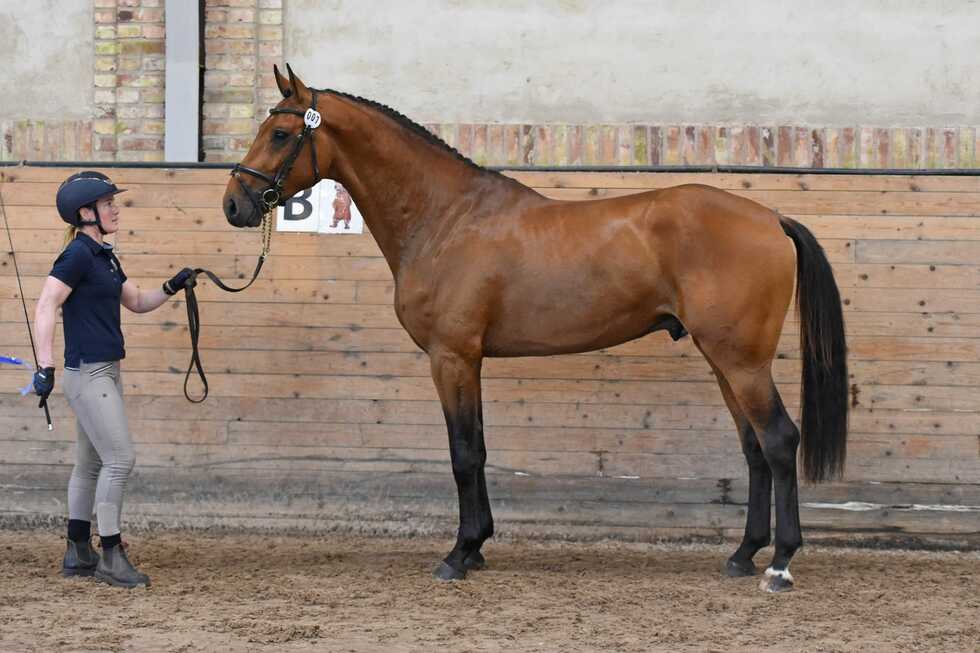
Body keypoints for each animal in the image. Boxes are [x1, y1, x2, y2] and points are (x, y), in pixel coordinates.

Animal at [223, 65, 848, 593]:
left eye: (281, 134)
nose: (234, 205)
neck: (446, 217)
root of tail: (771, 219)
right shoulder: (468, 359)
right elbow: (476, 447)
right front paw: (477, 547)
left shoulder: (451, 356)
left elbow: (462, 453)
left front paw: (458, 555)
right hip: (725, 361)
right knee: (754, 449)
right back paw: (743, 556)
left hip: (742, 362)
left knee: (778, 440)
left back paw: (780, 565)